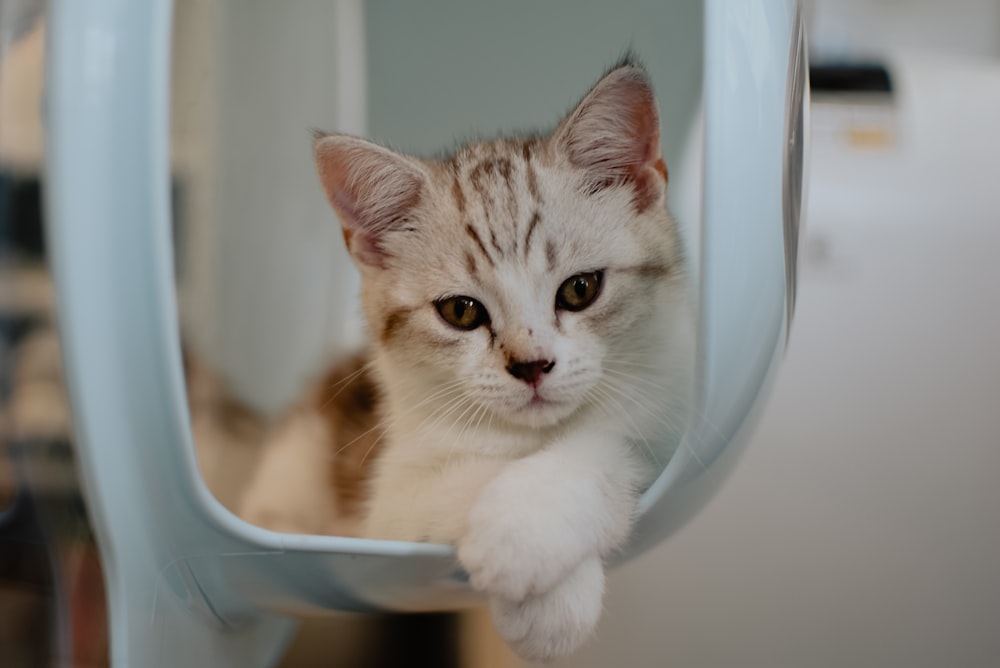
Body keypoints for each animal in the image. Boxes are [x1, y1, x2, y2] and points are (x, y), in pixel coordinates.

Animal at [236, 58, 688, 664]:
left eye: (580, 289)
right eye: (461, 311)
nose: (531, 366)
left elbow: (621, 445)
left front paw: (525, 528)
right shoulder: (386, 509)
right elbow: (450, 481)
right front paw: (543, 588)